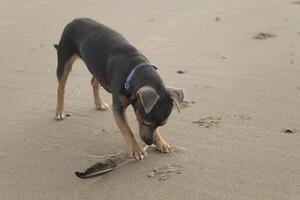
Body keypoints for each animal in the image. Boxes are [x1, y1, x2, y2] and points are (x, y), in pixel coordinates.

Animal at [54, 18, 184, 161]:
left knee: (94, 82)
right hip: (64, 60)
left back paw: (99, 103)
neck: (135, 68)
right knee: (61, 88)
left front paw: (160, 141)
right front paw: (137, 150)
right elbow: (127, 130)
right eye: (146, 123)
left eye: (162, 124)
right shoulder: (118, 108)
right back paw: (59, 111)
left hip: (97, 67)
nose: (150, 142)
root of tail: (74, 20)